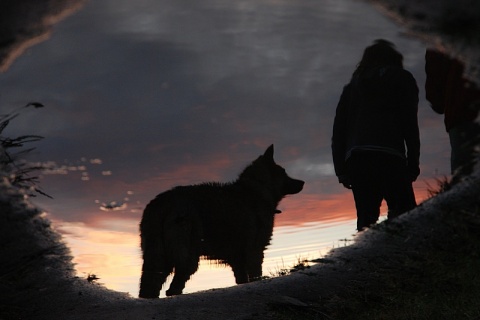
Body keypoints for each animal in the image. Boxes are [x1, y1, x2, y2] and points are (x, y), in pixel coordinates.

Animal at [139, 145, 304, 298]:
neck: (256, 189)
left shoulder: (238, 260)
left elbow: (242, 280)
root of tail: (162, 203)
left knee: (150, 286)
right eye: (284, 172)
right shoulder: (255, 251)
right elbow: (255, 277)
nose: (302, 182)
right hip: (187, 256)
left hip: (158, 256)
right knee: (173, 288)